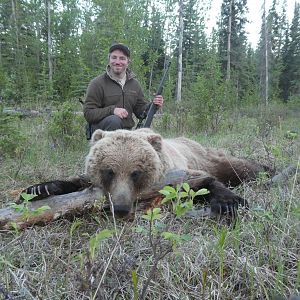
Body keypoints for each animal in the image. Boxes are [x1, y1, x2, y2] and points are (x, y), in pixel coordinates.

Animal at [21, 127, 270, 217]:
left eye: (136, 172)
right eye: (109, 171)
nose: (121, 208)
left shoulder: (179, 171)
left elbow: (201, 181)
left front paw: (229, 202)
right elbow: (76, 181)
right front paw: (39, 188)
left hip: (204, 155)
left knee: (237, 167)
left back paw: (268, 169)